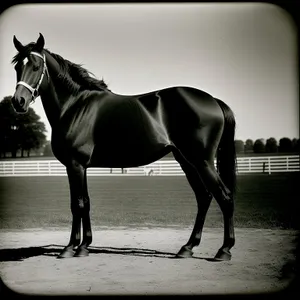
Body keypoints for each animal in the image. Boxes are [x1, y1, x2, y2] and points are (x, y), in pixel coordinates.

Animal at [9, 32, 237, 260]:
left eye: (36, 66)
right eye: (17, 67)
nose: (18, 102)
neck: (75, 106)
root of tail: (213, 100)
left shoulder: (74, 165)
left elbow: (77, 204)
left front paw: (69, 247)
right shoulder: (82, 167)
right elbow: (86, 203)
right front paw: (84, 246)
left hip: (202, 161)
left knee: (224, 197)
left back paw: (224, 250)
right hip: (187, 162)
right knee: (204, 197)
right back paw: (187, 247)